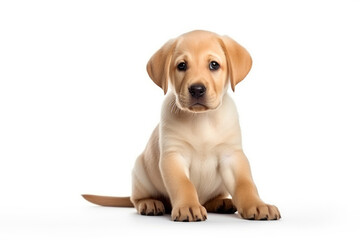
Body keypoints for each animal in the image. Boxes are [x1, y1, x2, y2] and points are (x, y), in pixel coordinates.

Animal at [83, 31, 282, 222]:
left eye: (214, 65)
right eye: (181, 66)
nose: (197, 89)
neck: (201, 119)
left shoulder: (232, 156)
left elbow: (245, 184)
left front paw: (257, 205)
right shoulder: (174, 156)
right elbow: (183, 184)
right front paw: (188, 206)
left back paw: (221, 202)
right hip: (140, 171)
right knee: (136, 198)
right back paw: (150, 203)